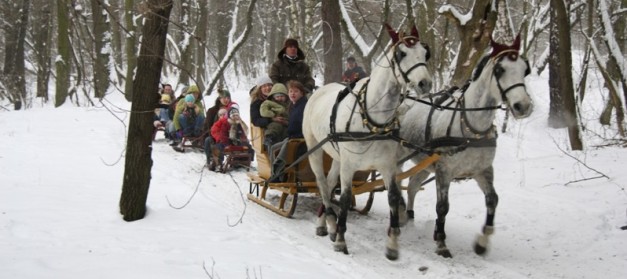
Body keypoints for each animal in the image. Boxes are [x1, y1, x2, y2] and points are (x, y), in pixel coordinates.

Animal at [400, 35, 532, 258]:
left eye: (525, 69)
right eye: (500, 69)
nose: (523, 106)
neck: (472, 128)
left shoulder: (483, 170)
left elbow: (492, 200)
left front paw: (482, 242)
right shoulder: (444, 170)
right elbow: (442, 207)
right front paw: (441, 242)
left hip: (424, 164)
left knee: (412, 185)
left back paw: (409, 215)